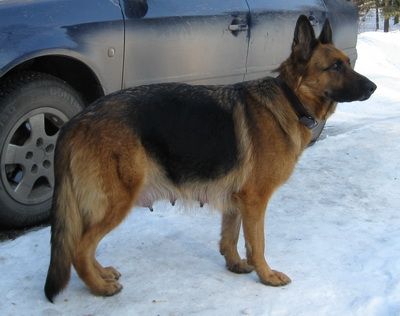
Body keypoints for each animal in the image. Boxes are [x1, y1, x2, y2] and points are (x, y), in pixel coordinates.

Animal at [43, 15, 376, 302]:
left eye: (347, 64)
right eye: (334, 67)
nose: (373, 87)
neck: (289, 100)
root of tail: (76, 122)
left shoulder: (237, 200)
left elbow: (230, 236)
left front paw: (236, 265)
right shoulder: (256, 201)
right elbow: (258, 243)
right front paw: (266, 275)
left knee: (84, 246)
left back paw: (102, 274)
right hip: (116, 201)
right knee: (79, 248)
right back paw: (99, 287)